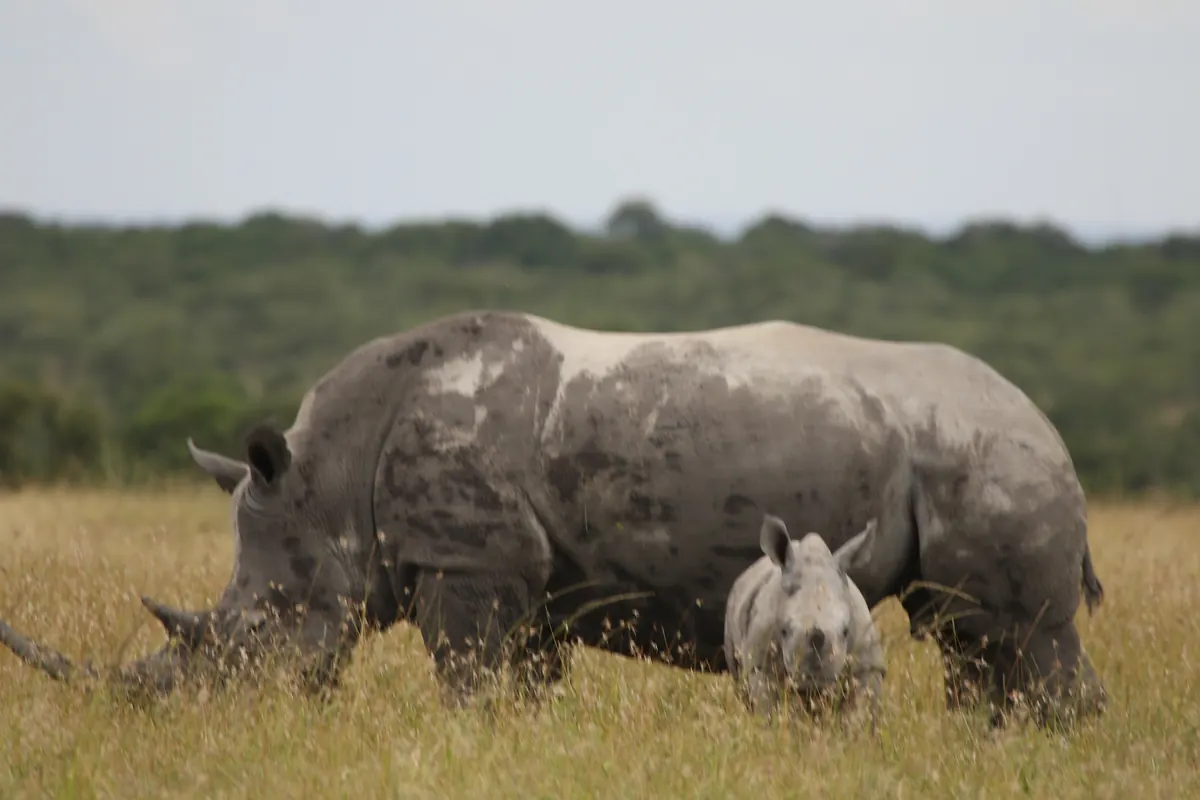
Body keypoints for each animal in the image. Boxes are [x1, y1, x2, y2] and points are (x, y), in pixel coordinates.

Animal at [724, 514, 886, 729]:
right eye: (784, 630)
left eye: (846, 631)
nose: (815, 681)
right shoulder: (761, 667)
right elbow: (771, 713)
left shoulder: (867, 667)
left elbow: (861, 717)